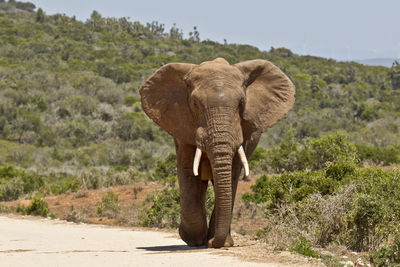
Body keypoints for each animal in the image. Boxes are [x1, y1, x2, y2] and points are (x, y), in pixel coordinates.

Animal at [140, 57, 294, 248]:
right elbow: (188, 172)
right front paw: (192, 238)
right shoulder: (183, 126)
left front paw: (217, 241)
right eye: (195, 104)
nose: (213, 243)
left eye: (241, 104)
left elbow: (232, 173)